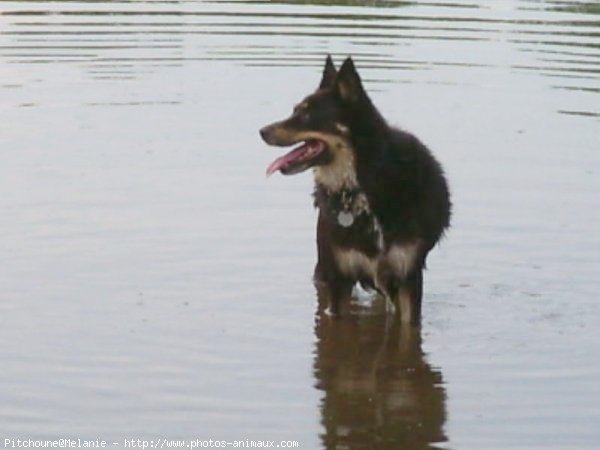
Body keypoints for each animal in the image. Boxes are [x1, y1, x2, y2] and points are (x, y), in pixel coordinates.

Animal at [258, 56, 450, 324]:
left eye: (305, 115)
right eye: (295, 110)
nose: (262, 131)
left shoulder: (408, 275)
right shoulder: (339, 276)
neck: (365, 185)